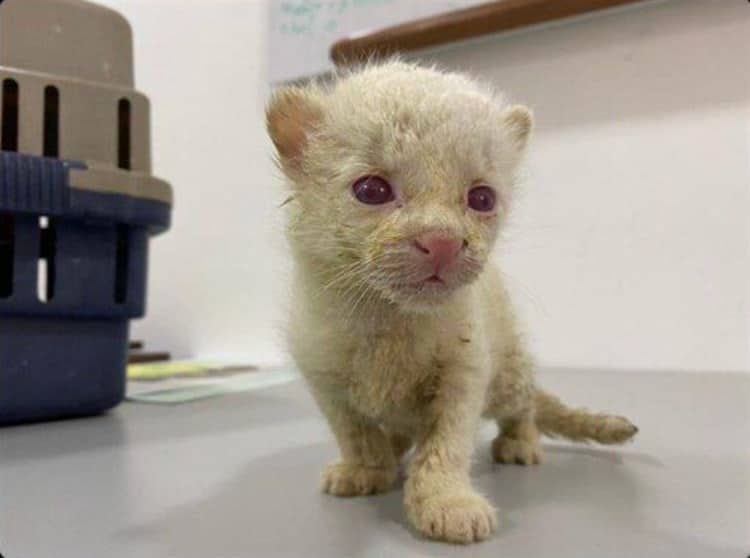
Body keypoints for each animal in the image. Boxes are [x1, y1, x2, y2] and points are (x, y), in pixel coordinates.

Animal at [268, 62, 636, 548]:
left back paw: (520, 445)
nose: (440, 241)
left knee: (524, 408)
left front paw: (448, 505)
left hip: (508, 373)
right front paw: (364, 469)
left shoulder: (466, 370)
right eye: (372, 189)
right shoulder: (321, 372)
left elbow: (446, 444)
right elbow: (354, 431)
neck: (389, 320)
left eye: (481, 198)